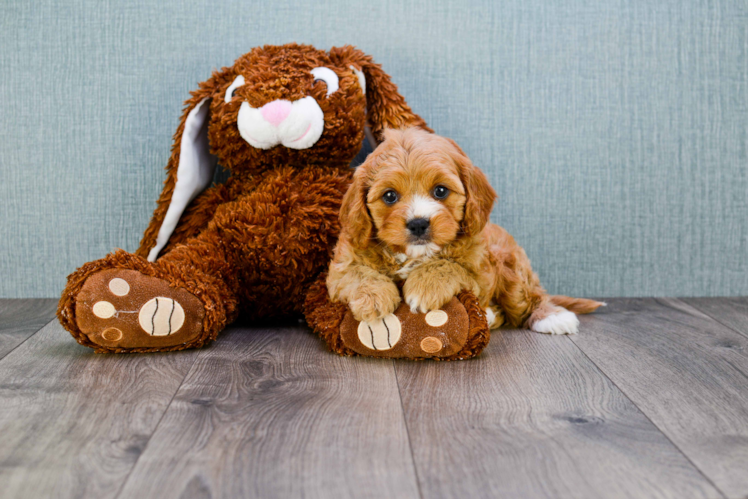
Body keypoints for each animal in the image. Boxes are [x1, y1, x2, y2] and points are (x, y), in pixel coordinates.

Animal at [326, 127, 600, 334]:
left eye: (440, 191)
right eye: (390, 196)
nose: (418, 223)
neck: (414, 255)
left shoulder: (481, 269)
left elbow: (449, 265)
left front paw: (425, 286)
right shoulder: (340, 267)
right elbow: (358, 273)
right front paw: (373, 299)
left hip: (510, 265)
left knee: (528, 299)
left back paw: (550, 316)